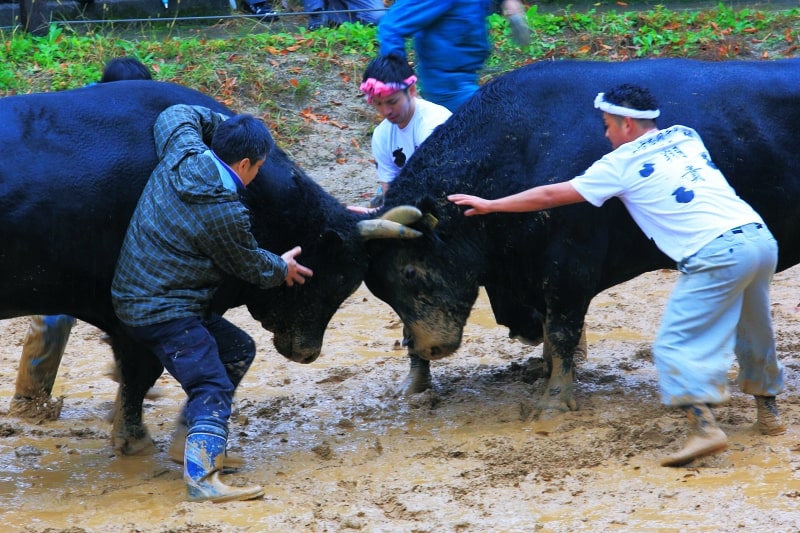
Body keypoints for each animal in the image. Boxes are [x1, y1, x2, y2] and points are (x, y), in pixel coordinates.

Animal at [366, 58, 800, 414]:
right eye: (380, 290)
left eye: (409, 273)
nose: (424, 346)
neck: (520, 147)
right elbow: (549, 329)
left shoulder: (570, 265)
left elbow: (561, 330)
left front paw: (554, 401)